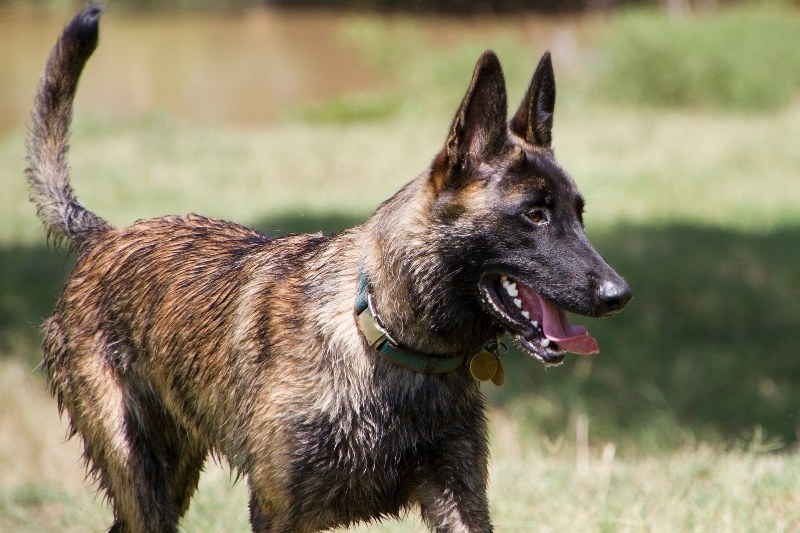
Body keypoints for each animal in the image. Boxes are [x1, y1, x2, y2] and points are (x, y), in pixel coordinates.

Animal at [26, 5, 632, 532]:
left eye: (578, 213)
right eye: (533, 214)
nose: (619, 294)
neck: (392, 341)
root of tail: (108, 238)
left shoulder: (459, 496)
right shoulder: (279, 511)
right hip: (141, 475)